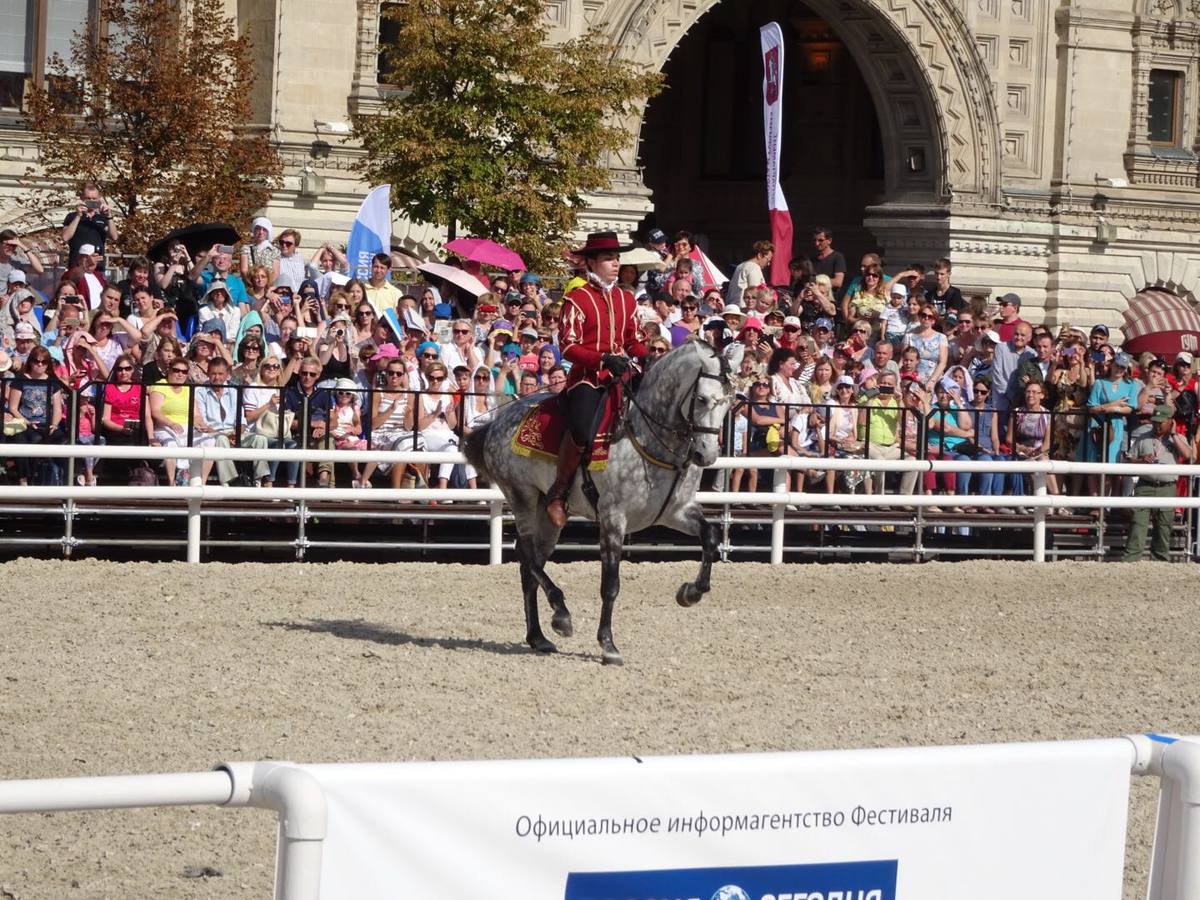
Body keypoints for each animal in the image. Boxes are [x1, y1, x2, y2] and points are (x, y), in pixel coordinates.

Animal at [465, 340, 739, 667]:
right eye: (701, 399)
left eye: (728, 402)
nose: (706, 455)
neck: (646, 435)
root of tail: (496, 423)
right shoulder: (613, 519)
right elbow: (610, 585)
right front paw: (608, 645)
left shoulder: (677, 512)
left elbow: (710, 536)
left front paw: (690, 593)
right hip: (522, 498)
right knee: (526, 555)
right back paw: (561, 614)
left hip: (548, 514)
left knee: (530, 566)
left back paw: (538, 637)